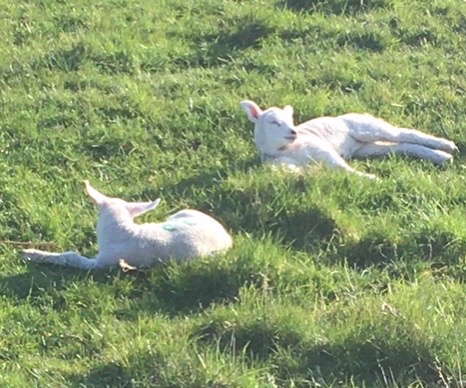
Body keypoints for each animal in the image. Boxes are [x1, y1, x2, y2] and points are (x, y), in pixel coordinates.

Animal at [21, 181, 233, 270]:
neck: (123, 230)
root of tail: (227, 238)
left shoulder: (101, 264)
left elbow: (72, 257)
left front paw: (32, 253)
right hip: (184, 213)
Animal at [240, 99, 458, 180]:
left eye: (290, 120)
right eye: (274, 122)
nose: (294, 132)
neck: (287, 149)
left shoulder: (322, 150)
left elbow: (342, 168)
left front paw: (372, 179)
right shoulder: (281, 165)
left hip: (365, 127)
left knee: (404, 134)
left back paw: (446, 147)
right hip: (367, 148)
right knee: (401, 146)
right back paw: (441, 157)